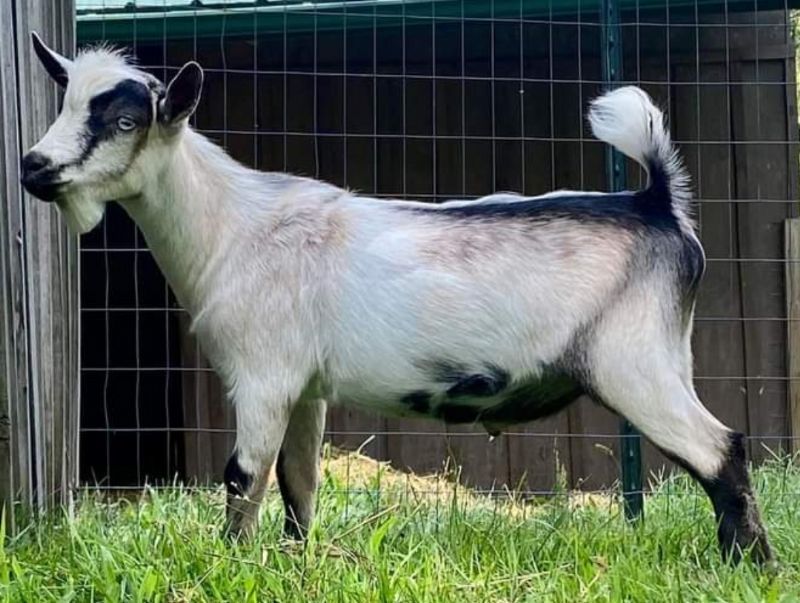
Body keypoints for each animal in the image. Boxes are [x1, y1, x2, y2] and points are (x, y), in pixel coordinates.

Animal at [22, 33, 772, 564]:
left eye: (125, 121)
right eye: (66, 102)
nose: (34, 166)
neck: (233, 225)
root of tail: (654, 205)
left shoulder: (263, 374)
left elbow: (243, 477)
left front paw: (230, 566)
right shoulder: (305, 387)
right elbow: (299, 482)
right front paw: (298, 565)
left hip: (635, 364)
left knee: (721, 451)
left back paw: (749, 565)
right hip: (664, 359)